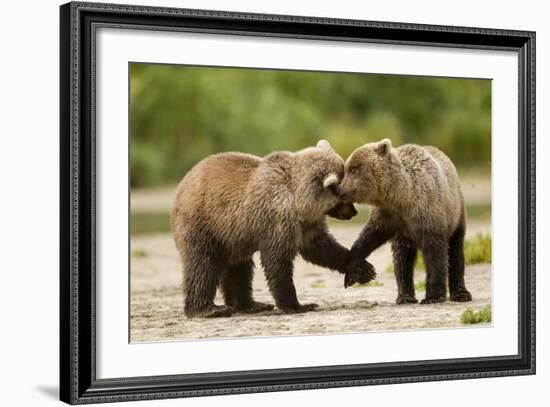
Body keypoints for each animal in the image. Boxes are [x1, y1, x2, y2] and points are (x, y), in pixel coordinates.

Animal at [172, 141, 378, 318]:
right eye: (344, 195)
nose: (353, 212)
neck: (299, 201)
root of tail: (181, 186)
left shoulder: (306, 224)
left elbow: (321, 247)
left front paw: (363, 269)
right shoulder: (277, 216)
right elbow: (277, 259)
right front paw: (299, 305)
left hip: (233, 236)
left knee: (239, 269)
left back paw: (251, 305)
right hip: (204, 225)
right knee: (203, 265)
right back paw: (209, 309)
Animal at [340, 139, 474, 304]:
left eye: (354, 169)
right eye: (346, 169)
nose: (340, 190)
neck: (402, 196)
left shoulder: (427, 213)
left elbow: (435, 254)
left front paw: (433, 296)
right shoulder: (389, 216)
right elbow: (369, 237)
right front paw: (352, 273)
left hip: (456, 213)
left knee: (456, 251)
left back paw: (461, 294)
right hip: (405, 237)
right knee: (402, 259)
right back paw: (405, 296)